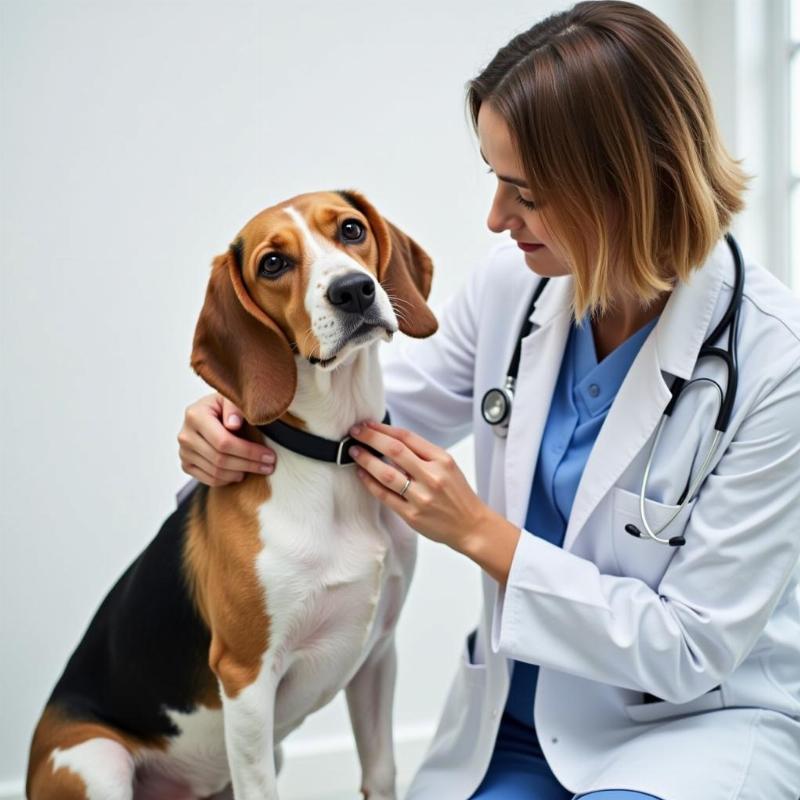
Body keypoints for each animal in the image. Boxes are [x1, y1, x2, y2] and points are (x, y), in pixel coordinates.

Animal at [26, 192, 438, 800]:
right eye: (273, 263)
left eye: (351, 229)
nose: (354, 290)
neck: (331, 457)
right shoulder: (247, 680)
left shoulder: (377, 655)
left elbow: (380, 772)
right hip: (96, 763)